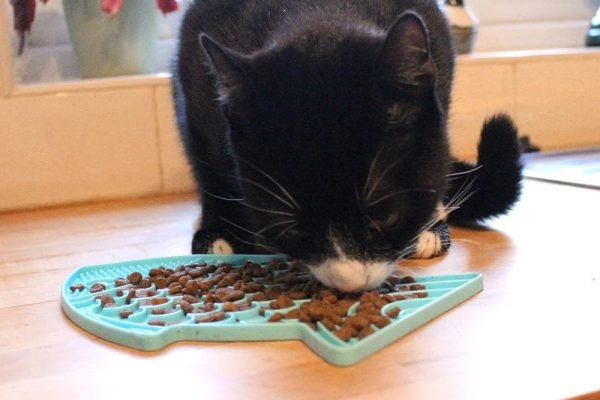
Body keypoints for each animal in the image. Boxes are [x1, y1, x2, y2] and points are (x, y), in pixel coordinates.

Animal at [171, 0, 524, 290]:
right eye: (293, 228)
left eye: (385, 216)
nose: (350, 282)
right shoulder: (193, 79)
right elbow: (205, 165)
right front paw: (219, 231)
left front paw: (427, 223)